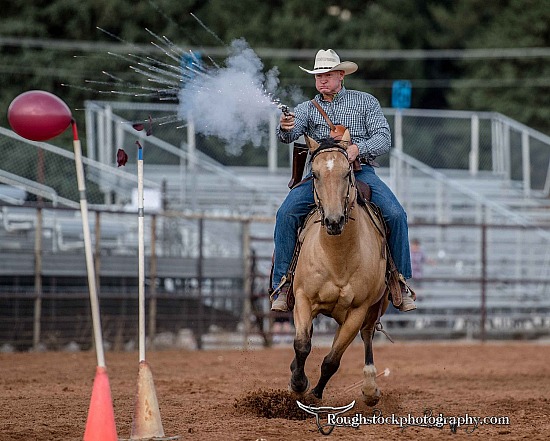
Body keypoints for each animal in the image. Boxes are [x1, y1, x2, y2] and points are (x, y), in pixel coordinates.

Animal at [292, 131, 390, 406]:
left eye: (347, 172)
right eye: (314, 174)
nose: (334, 221)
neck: (337, 258)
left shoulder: (358, 310)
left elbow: (332, 360)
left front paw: (314, 394)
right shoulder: (303, 298)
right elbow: (302, 344)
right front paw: (298, 383)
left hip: (375, 307)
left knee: (367, 336)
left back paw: (370, 387)